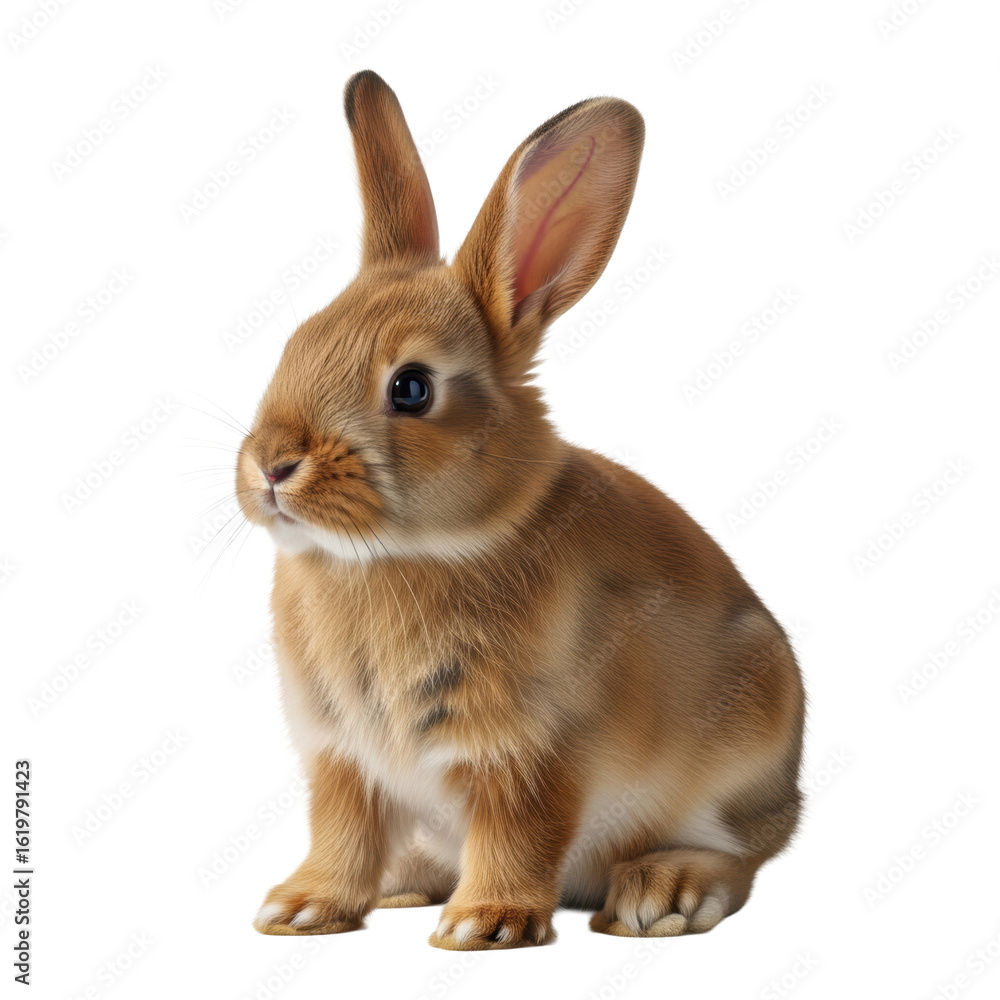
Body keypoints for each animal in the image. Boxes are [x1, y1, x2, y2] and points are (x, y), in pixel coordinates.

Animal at [236, 70, 805, 950]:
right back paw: (407, 882)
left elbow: (519, 831)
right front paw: (301, 909)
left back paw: (663, 893)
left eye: (412, 388)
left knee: (740, 855)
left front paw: (487, 924)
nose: (270, 465)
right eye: (296, 344)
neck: (404, 554)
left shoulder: (533, 752)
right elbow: (341, 833)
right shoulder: (344, 759)